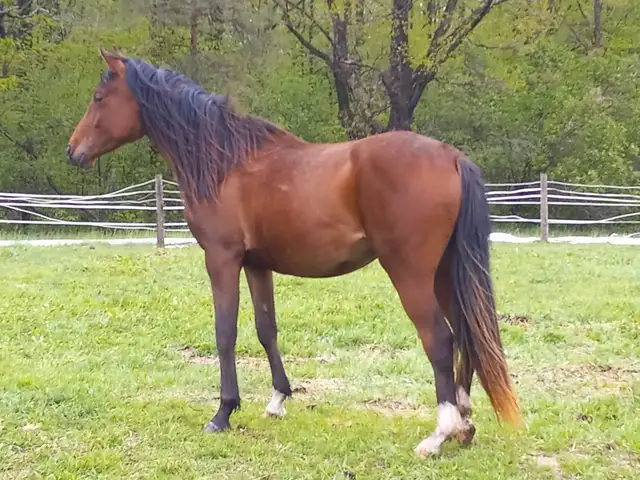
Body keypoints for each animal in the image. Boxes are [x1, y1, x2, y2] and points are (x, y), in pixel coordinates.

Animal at [67, 47, 520, 456]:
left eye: (99, 97)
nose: (73, 151)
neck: (225, 162)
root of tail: (452, 157)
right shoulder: (257, 265)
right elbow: (266, 329)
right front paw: (277, 399)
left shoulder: (222, 258)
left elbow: (225, 332)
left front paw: (223, 413)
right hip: (446, 272)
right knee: (466, 333)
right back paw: (465, 424)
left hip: (410, 274)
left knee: (440, 340)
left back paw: (440, 435)